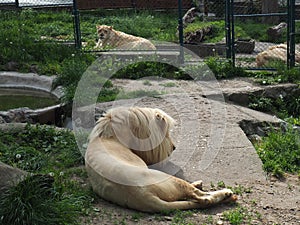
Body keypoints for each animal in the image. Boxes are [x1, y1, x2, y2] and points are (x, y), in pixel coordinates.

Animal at [85, 106, 237, 212]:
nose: (174, 147)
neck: (109, 136)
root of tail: (144, 196)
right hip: (171, 180)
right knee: (203, 198)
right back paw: (227, 194)